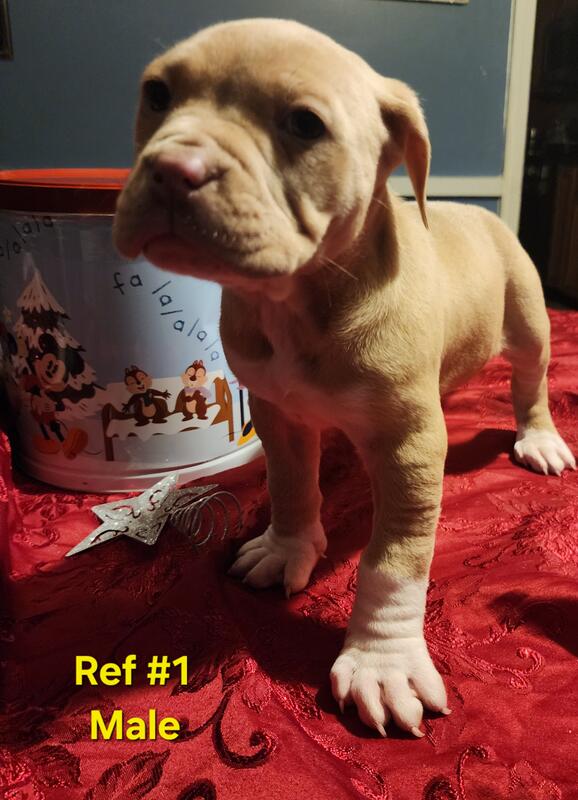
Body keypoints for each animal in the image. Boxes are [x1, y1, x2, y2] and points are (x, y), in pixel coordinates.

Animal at [113, 18, 576, 738]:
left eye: (304, 124)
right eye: (157, 94)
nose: (171, 168)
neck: (297, 302)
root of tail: (476, 211)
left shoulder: (410, 447)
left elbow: (393, 560)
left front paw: (383, 663)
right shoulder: (278, 414)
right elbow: (291, 485)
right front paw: (287, 547)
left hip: (526, 314)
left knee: (530, 380)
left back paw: (540, 439)